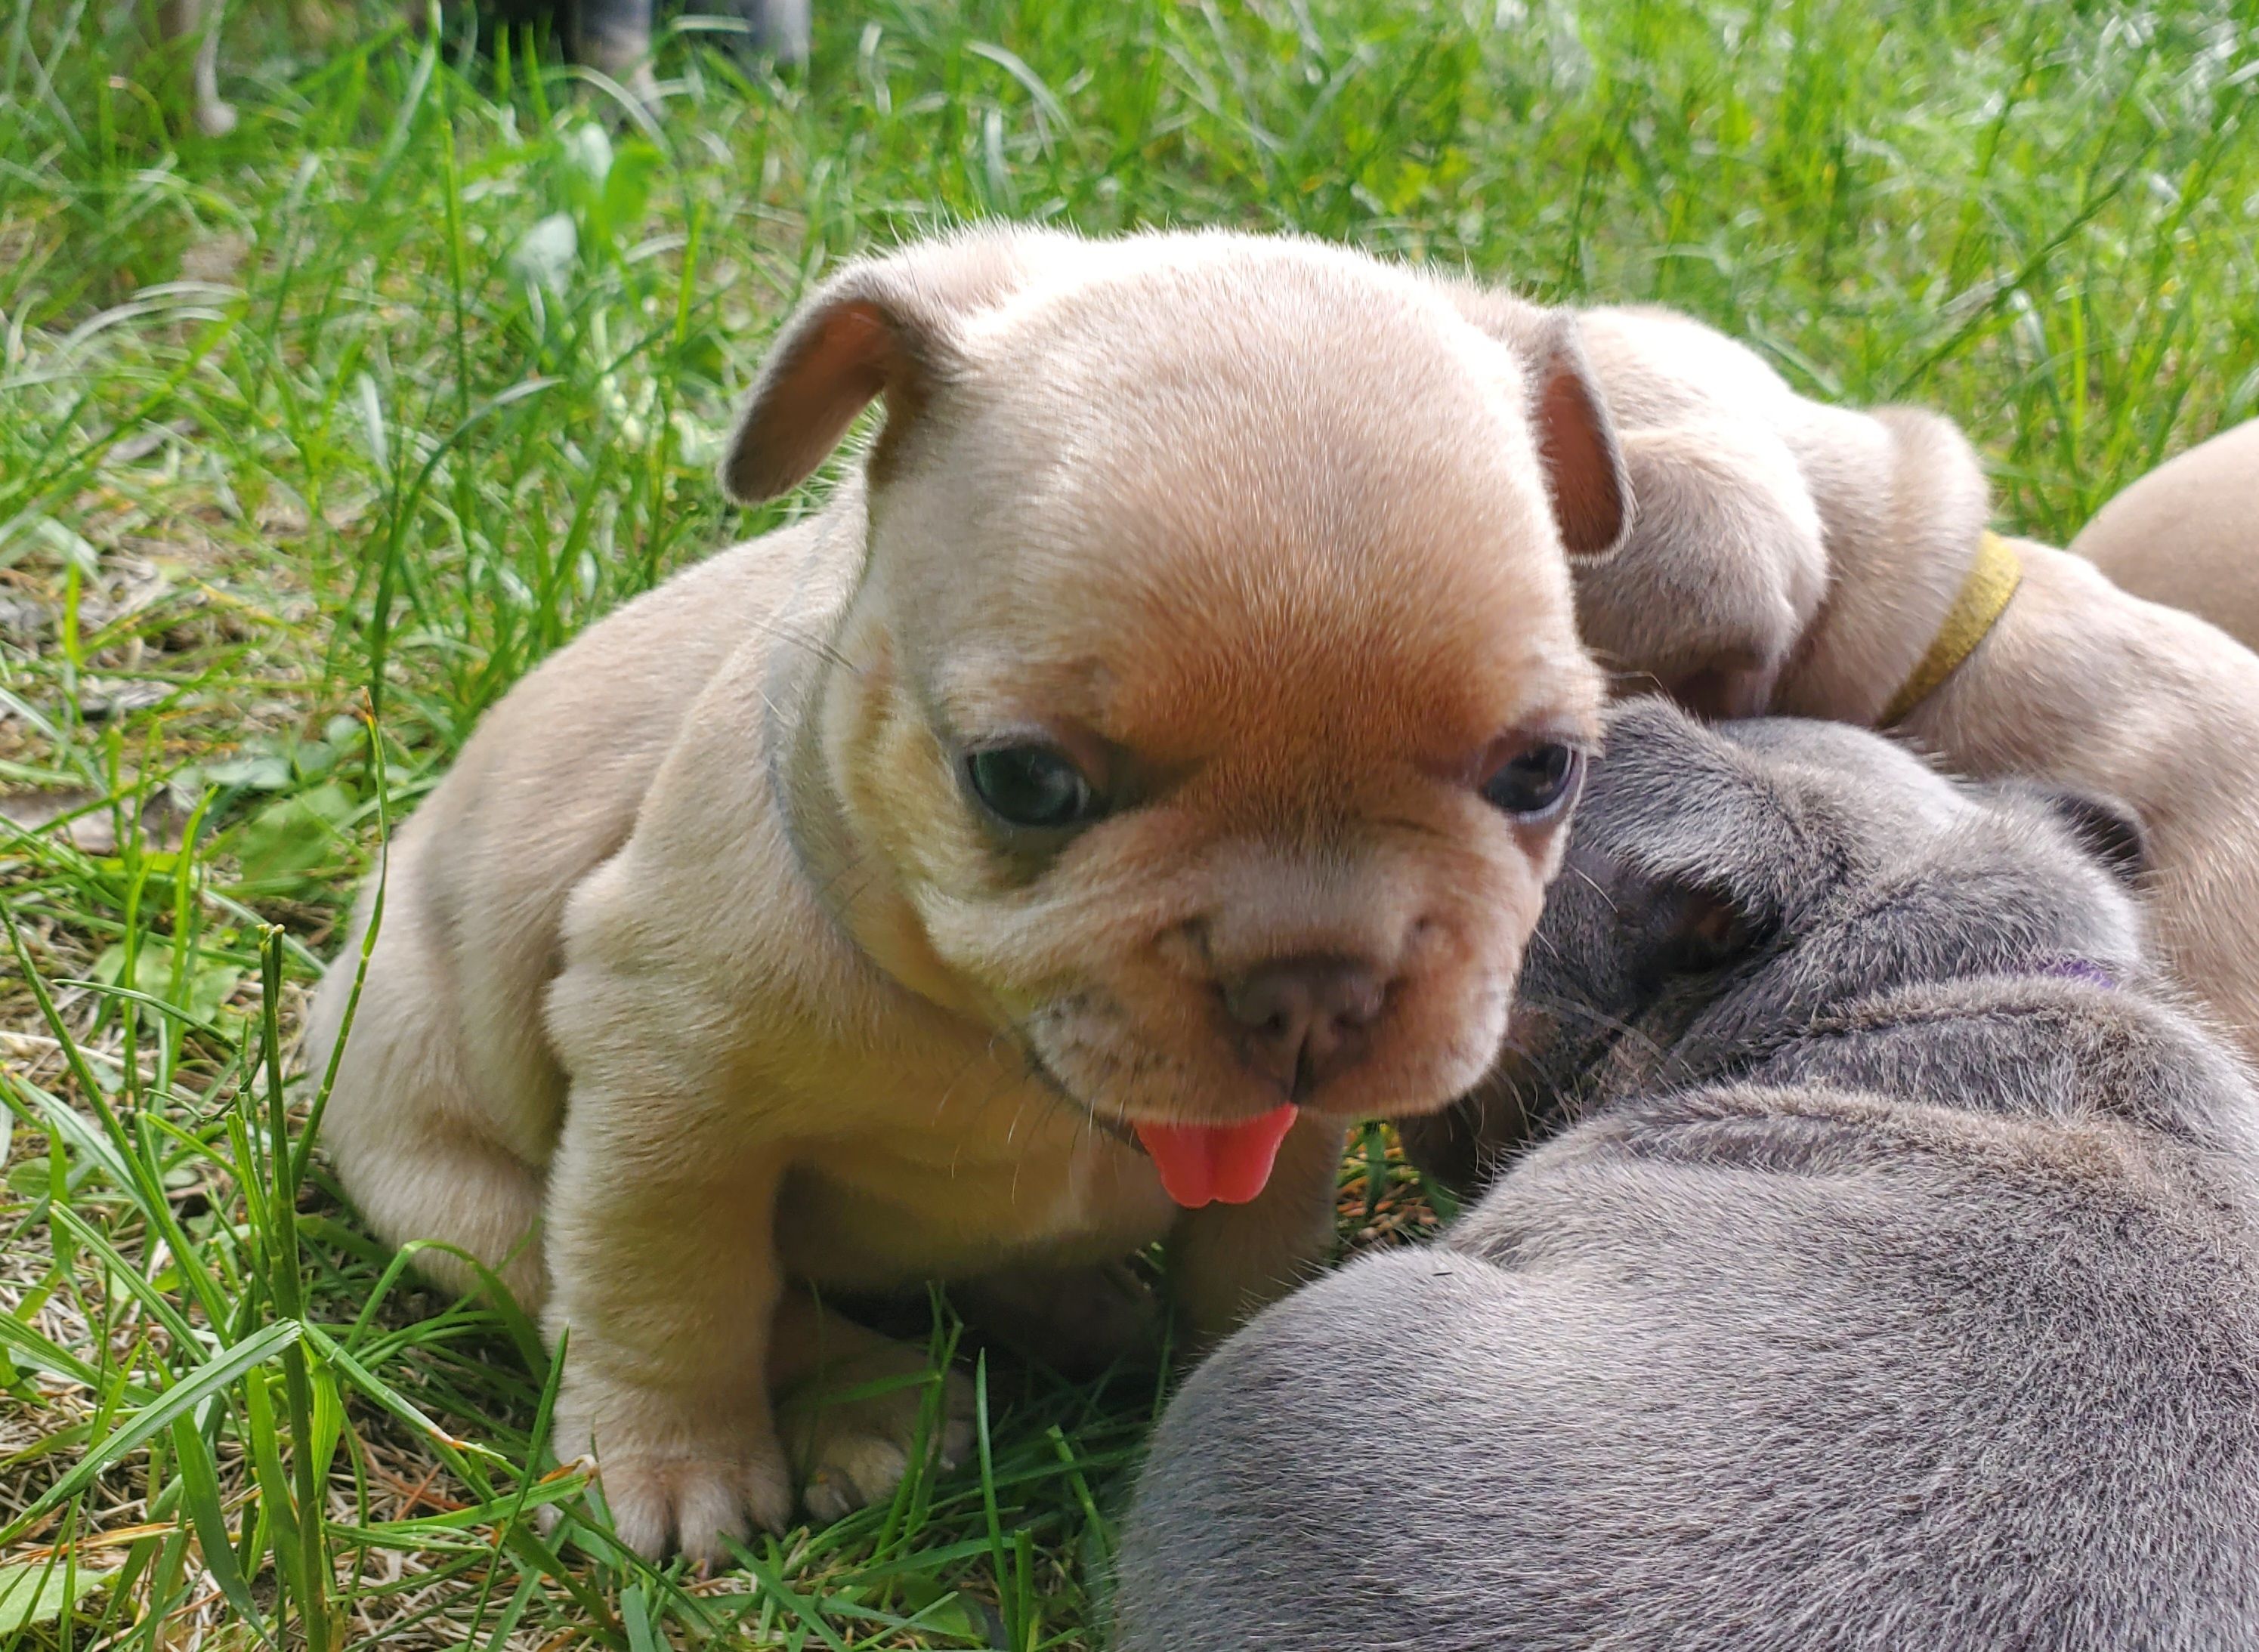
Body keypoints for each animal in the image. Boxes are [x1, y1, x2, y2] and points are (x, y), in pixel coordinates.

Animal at [314, 226, 1626, 1555]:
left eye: (1541, 771)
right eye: (1025, 780)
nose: (1312, 984)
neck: (990, 1051)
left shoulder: (1286, 1148)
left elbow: (1251, 1258)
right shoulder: (665, 1095)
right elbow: (670, 1286)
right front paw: (669, 1459)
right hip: (438, 1162)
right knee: (591, 1268)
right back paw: (874, 1403)